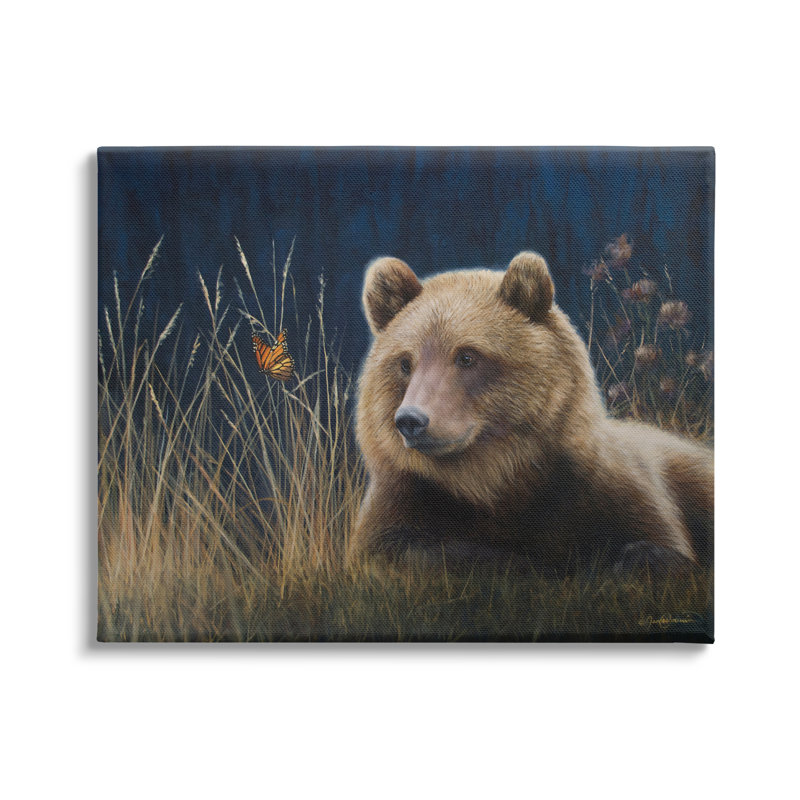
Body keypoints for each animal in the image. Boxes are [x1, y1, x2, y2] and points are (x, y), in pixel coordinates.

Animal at [349, 251, 713, 574]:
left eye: (467, 356)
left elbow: (656, 539)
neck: (494, 478)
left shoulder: (599, 486)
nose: (411, 420)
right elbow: (398, 549)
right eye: (405, 362)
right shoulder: (405, 498)